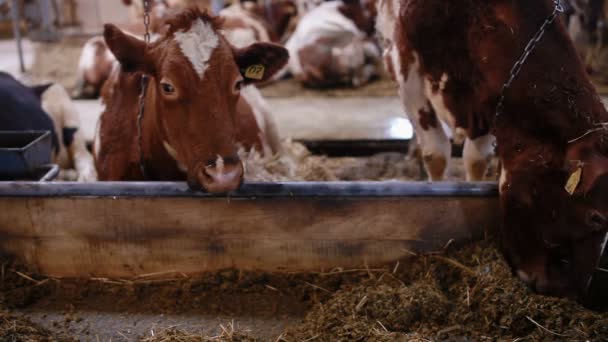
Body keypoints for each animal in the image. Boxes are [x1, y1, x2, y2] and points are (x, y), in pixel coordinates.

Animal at [380, 0, 608, 302]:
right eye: (596, 217)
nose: (566, 292)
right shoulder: (404, 56)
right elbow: (437, 153)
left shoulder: (490, 102)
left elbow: (476, 159)